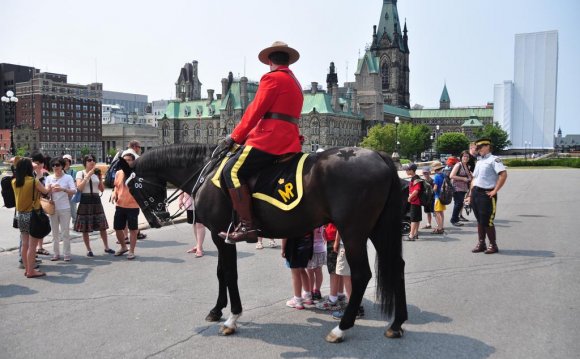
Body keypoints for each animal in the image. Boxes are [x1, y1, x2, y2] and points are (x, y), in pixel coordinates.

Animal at [119, 143, 406, 344]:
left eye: (134, 189)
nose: (156, 219)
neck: (206, 172)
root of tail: (379, 156)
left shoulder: (221, 235)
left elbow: (229, 273)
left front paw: (232, 317)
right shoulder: (219, 235)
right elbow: (221, 272)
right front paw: (217, 310)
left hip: (353, 230)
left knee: (361, 274)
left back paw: (341, 328)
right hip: (377, 228)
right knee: (396, 266)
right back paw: (396, 324)